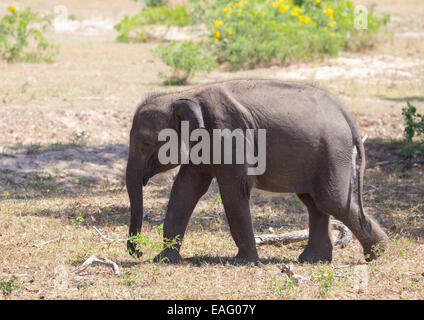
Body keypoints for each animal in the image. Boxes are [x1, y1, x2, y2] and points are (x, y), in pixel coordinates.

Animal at [125, 79, 388, 264]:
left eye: (146, 143)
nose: (137, 252)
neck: (187, 95)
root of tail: (347, 115)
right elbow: (185, 190)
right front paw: (164, 260)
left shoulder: (228, 135)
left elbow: (232, 191)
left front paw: (243, 263)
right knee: (314, 202)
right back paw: (319, 259)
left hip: (333, 151)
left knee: (330, 200)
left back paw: (376, 254)